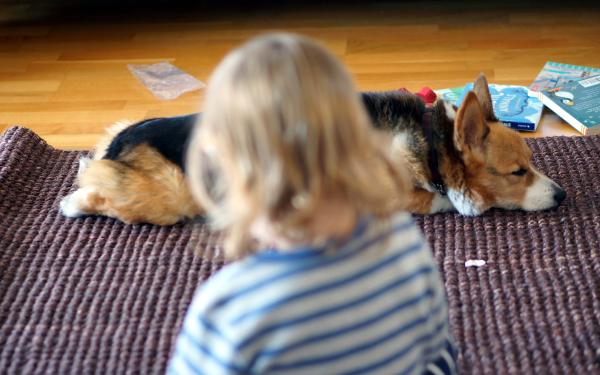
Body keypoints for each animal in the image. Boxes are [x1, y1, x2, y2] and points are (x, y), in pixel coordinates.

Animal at [61, 75, 568, 225]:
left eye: (532, 163)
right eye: (517, 172)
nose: (563, 194)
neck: (430, 143)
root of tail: (119, 141)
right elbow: (432, 199)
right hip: (169, 197)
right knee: (97, 193)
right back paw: (73, 203)